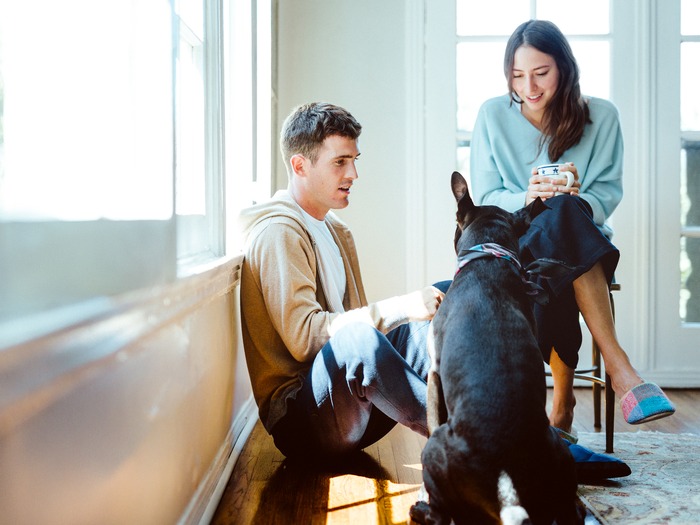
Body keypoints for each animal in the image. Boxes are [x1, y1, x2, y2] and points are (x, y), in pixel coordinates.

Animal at [408, 173, 584, 524]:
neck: (489, 258)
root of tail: (507, 490)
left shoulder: (434, 373)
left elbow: (432, 416)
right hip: (559, 452)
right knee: (568, 511)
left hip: (434, 449)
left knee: (442, 514)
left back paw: (421, 509)